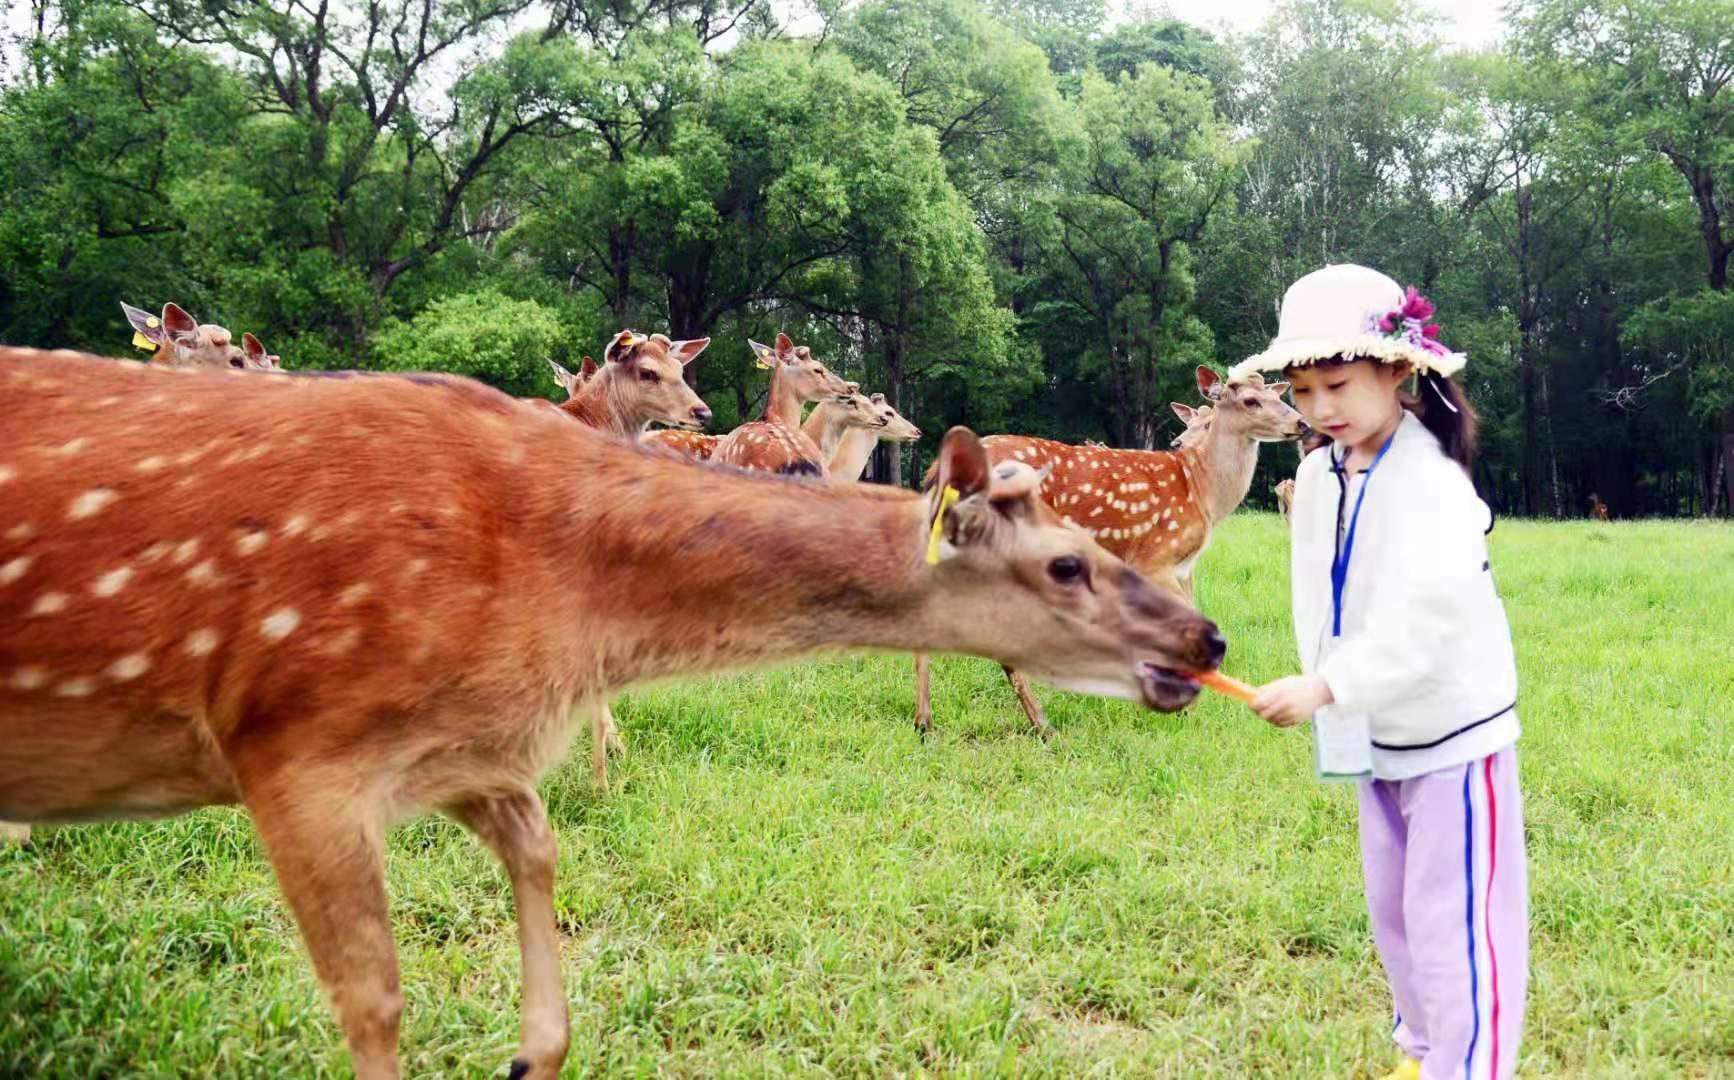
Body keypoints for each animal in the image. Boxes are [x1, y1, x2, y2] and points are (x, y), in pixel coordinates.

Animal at [908, 367, 1303, 738]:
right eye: (1250, 401)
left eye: (1274, 393)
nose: (1300, 423)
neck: (1202, 490)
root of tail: (935, 473)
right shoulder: (1154, 556)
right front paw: (1185, 707)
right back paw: (1042, 725)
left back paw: (925, 722)